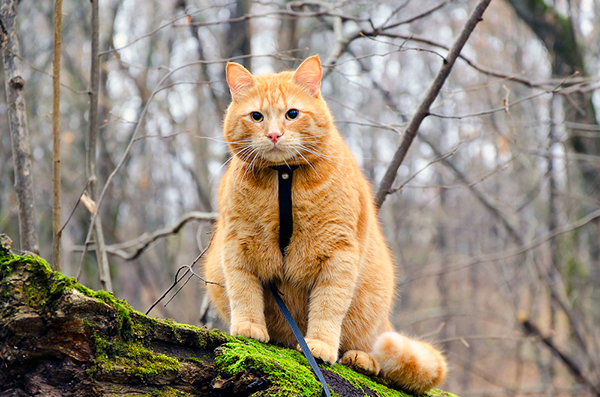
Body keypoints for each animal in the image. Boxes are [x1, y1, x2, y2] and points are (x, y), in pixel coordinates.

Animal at [204, 55, 448, 392]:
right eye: (257, 116)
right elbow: (244, 292)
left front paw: (318, 345)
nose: (274, 135)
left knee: (373, 350)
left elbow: (328, 307)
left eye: (292, 114)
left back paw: (361, 359)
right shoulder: (238, 245)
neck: (284, 177)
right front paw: (248, 327)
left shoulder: (338, 254)